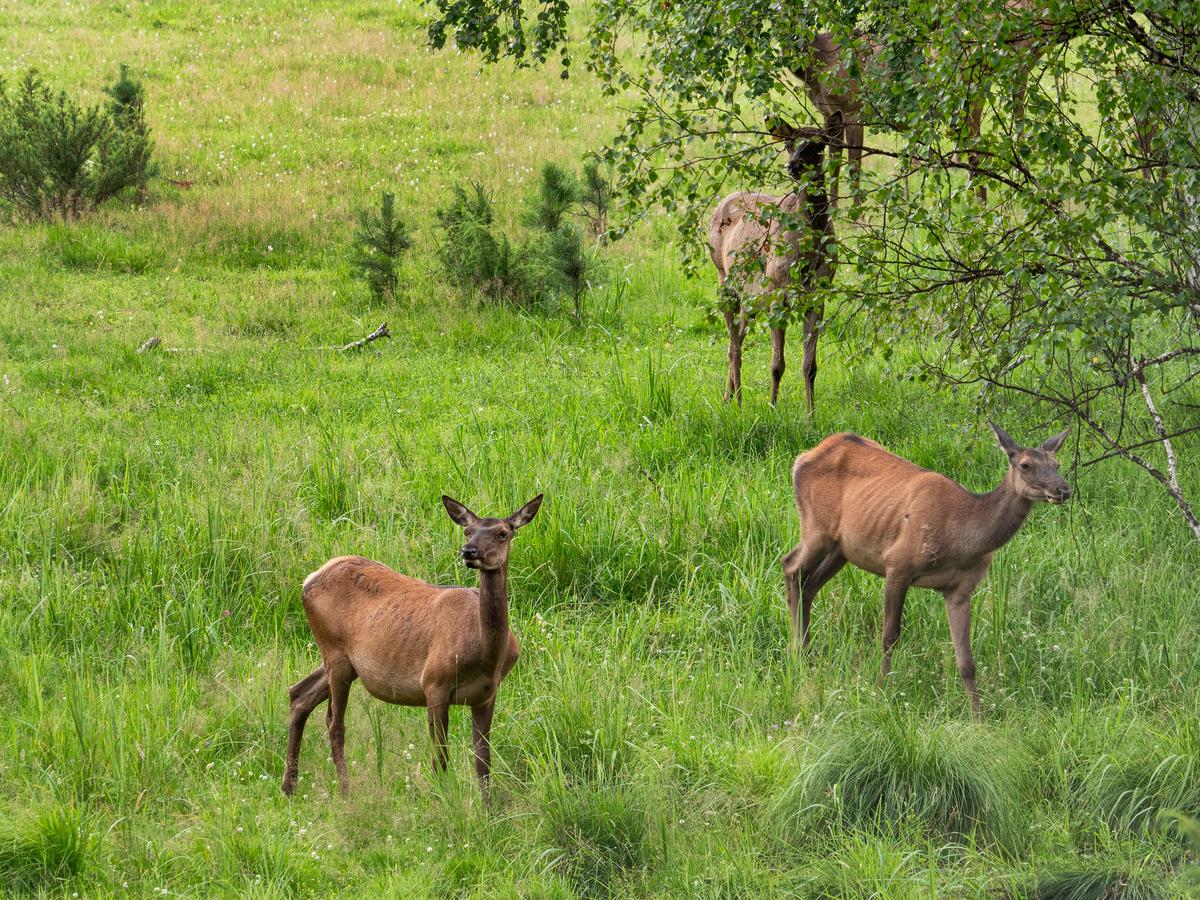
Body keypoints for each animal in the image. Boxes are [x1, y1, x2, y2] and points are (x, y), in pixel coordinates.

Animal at [280, 496, 544, 801]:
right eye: (468, 531)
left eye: (502, 533)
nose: (469, 551)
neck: (486, 654)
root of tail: (309, 579)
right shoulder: (434, 682)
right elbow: (440, 758)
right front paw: (443, 803)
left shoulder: (486, 695)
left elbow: (483, 762)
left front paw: (488, 808)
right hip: (334, 651)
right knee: (334, 723)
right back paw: (345, 792)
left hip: (343, 661)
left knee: (299, 694)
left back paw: (289, 786)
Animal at [705, 114, 840, 415]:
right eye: (790, 143)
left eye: (818, 143)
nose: (793, 165)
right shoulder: (778, 294)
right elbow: (777, 364)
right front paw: (772, 408)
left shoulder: (818, 296)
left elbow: (810, 365)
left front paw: (811, 414)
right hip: (723, 278)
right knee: (734, 346)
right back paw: (737, 402)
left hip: (750, 298)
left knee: (736, 339)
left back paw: (729, 398)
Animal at [782, 424, 1075, 720]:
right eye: (1026, 465)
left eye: (1057, 464)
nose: (1063, 489)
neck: (961, 538)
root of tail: (801, 458)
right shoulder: (897, 564)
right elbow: (889, 636)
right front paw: (881, 691)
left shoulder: (960, 589)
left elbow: (966, 659)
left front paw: (978, 717)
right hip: (816, 527)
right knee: (790, 567)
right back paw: (798, 655)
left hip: (841, 548)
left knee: (809, 585)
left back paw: (806, 654)